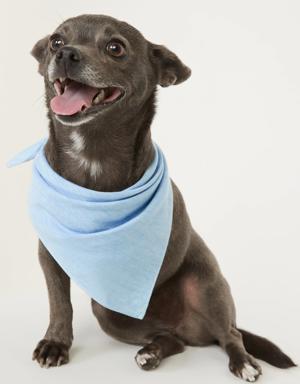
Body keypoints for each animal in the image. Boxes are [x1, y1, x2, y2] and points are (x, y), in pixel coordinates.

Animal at [26, 14, 296, 380]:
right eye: (56, 40)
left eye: (115, 47)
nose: (65, 54)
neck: (93, 152)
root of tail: (192, 330)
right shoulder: (51, 254)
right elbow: (59, 303)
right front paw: (55, 344)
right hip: (108, 311)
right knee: (173, 340)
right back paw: (152, 353)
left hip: (207, 285)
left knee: (231, 334)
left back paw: (243, 364)